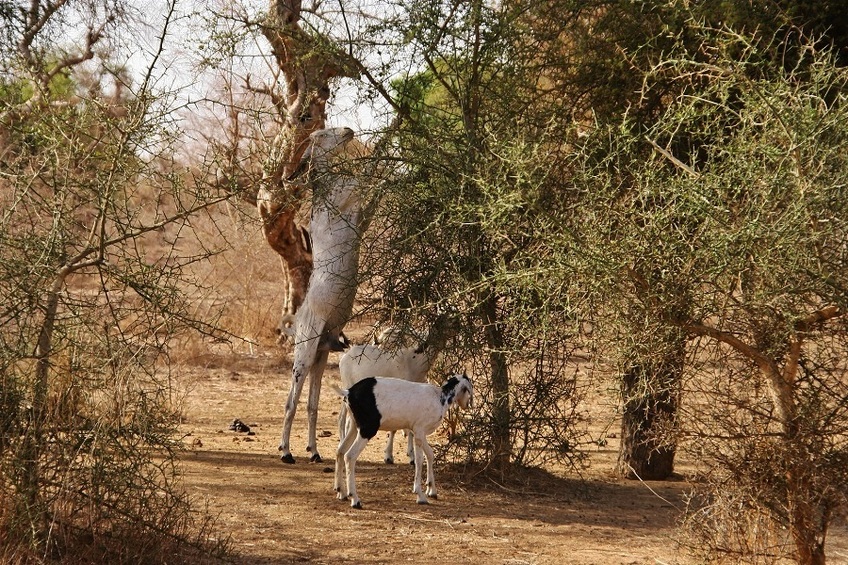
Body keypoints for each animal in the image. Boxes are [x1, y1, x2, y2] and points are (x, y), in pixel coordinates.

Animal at [280, 126, 370, 462]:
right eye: (321, 134)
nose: (349, 130)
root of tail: (296, 324)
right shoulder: (353, 193)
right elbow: (374, 172)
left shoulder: (361, 216)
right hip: (304, 357)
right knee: (291, 402)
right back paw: (285, 451)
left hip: (320, 356)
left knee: (312, 404)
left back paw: (315, 452)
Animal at [332, 372, 476, 508]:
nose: (466, 405)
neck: (440, 397)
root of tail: (349, 392)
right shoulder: (419, 430)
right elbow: (421, 459)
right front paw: (420, 495)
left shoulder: (418, 433)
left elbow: (428, 455)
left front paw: (431, 490)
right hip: (367, 429)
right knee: (350, 456)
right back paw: (355, 499)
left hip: (354, 427)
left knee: (340, 451)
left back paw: (341, 492)